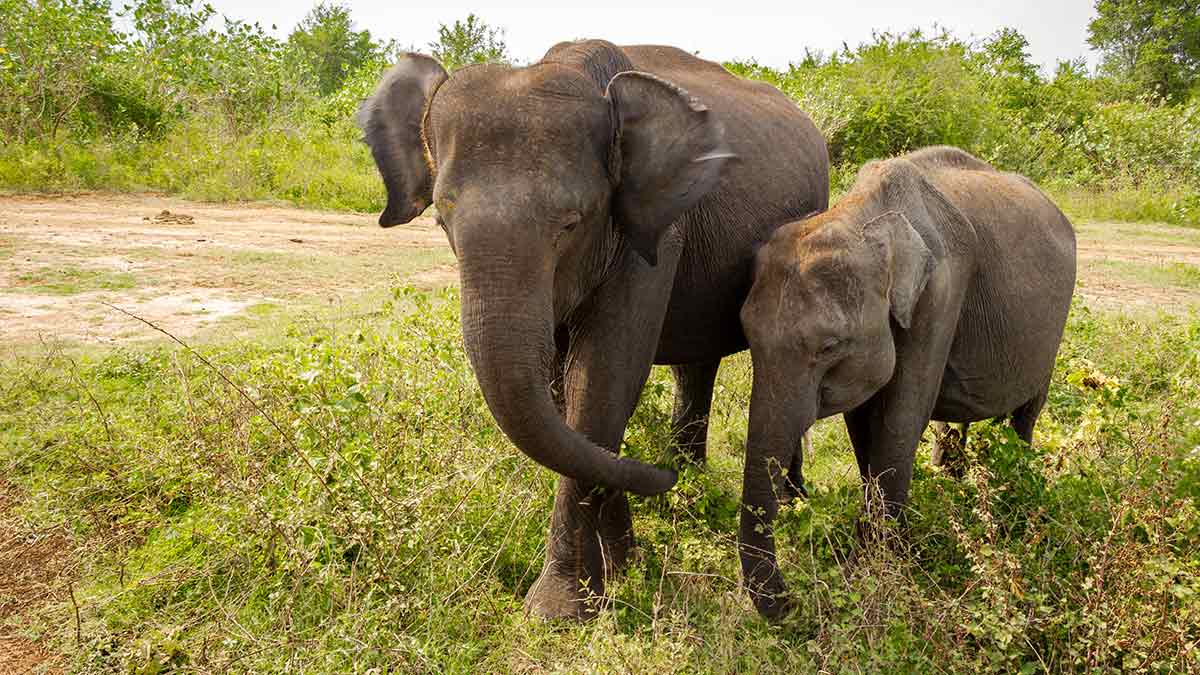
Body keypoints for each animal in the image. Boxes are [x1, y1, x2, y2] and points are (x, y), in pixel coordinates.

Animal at [357, 39, 825, 619]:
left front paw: (559, 611)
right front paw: (623, 566)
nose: (656, 478)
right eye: (442, 223)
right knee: (696, 368)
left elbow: (603, 379)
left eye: (571, 223)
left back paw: (782, 500)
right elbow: (564, 394)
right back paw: (689, 489)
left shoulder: (654, 230)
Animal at [739, 145, 1080, 614]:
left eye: (829, 347)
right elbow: (864, 422)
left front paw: (877, 566)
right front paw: (873, 554)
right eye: (746, 336)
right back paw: (953, 477)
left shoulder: (941, 295)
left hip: (1052, 333)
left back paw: (1011, 483)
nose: (794, 604)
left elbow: (899, 419)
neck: (864, 214)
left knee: (1026, 414)